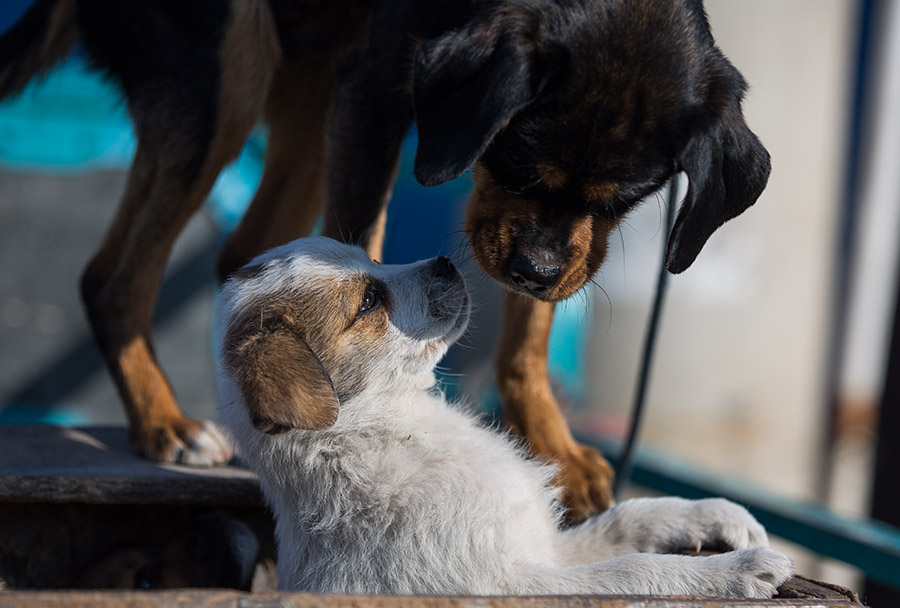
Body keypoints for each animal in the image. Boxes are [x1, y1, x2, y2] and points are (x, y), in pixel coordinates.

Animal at [1, 0, 772, 524]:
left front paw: (550, 444)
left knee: (239, 252)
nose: (532, 273)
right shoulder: (377, 87)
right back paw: (165, 420)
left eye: (630, 198)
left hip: (307, 83)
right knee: (112, 277)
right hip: (227, 67)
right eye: (515, 161)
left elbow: (529, 336)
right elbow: (360, 245)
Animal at [214, 235, 792, 596]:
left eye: (371, 260)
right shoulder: (508, 584)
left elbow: (628, 520)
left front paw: (717, 514)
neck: (397, 428)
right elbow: (636, 572)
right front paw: (735, 574)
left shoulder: (543, 548)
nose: (446, 262)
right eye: (369, 301)